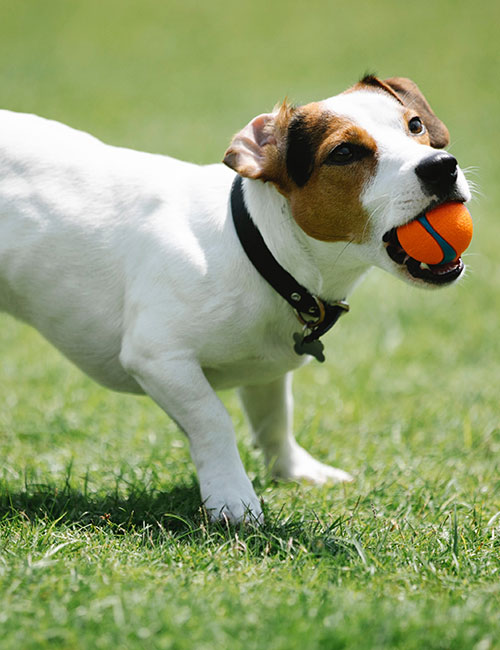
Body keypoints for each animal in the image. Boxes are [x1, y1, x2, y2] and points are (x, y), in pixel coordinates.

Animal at [0, 77, 468, 520]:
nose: (443, 167)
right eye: (344, 152)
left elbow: (275, 419)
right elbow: (213, 420)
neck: (258, 249)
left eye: (415, 125)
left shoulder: (267, 371)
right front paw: (233, 497)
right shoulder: (158, 359)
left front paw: (295, 470)